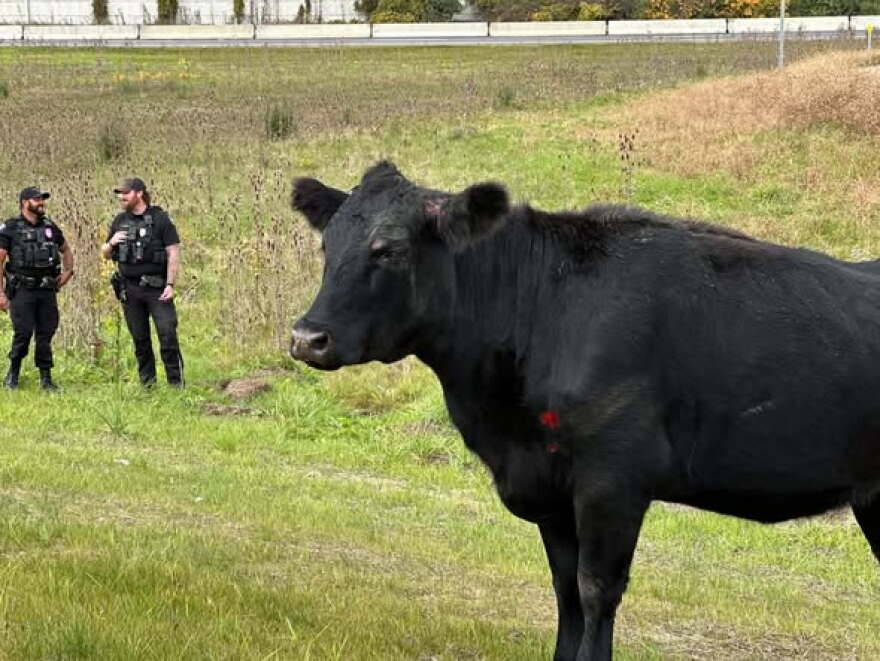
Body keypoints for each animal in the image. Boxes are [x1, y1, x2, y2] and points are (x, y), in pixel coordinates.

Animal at [288, 161, 880, 661]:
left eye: (388, 250)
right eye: (327, 245)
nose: (306, 337)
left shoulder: (611, 483)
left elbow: (596, 591)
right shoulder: (551, 492)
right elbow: (564, 590)